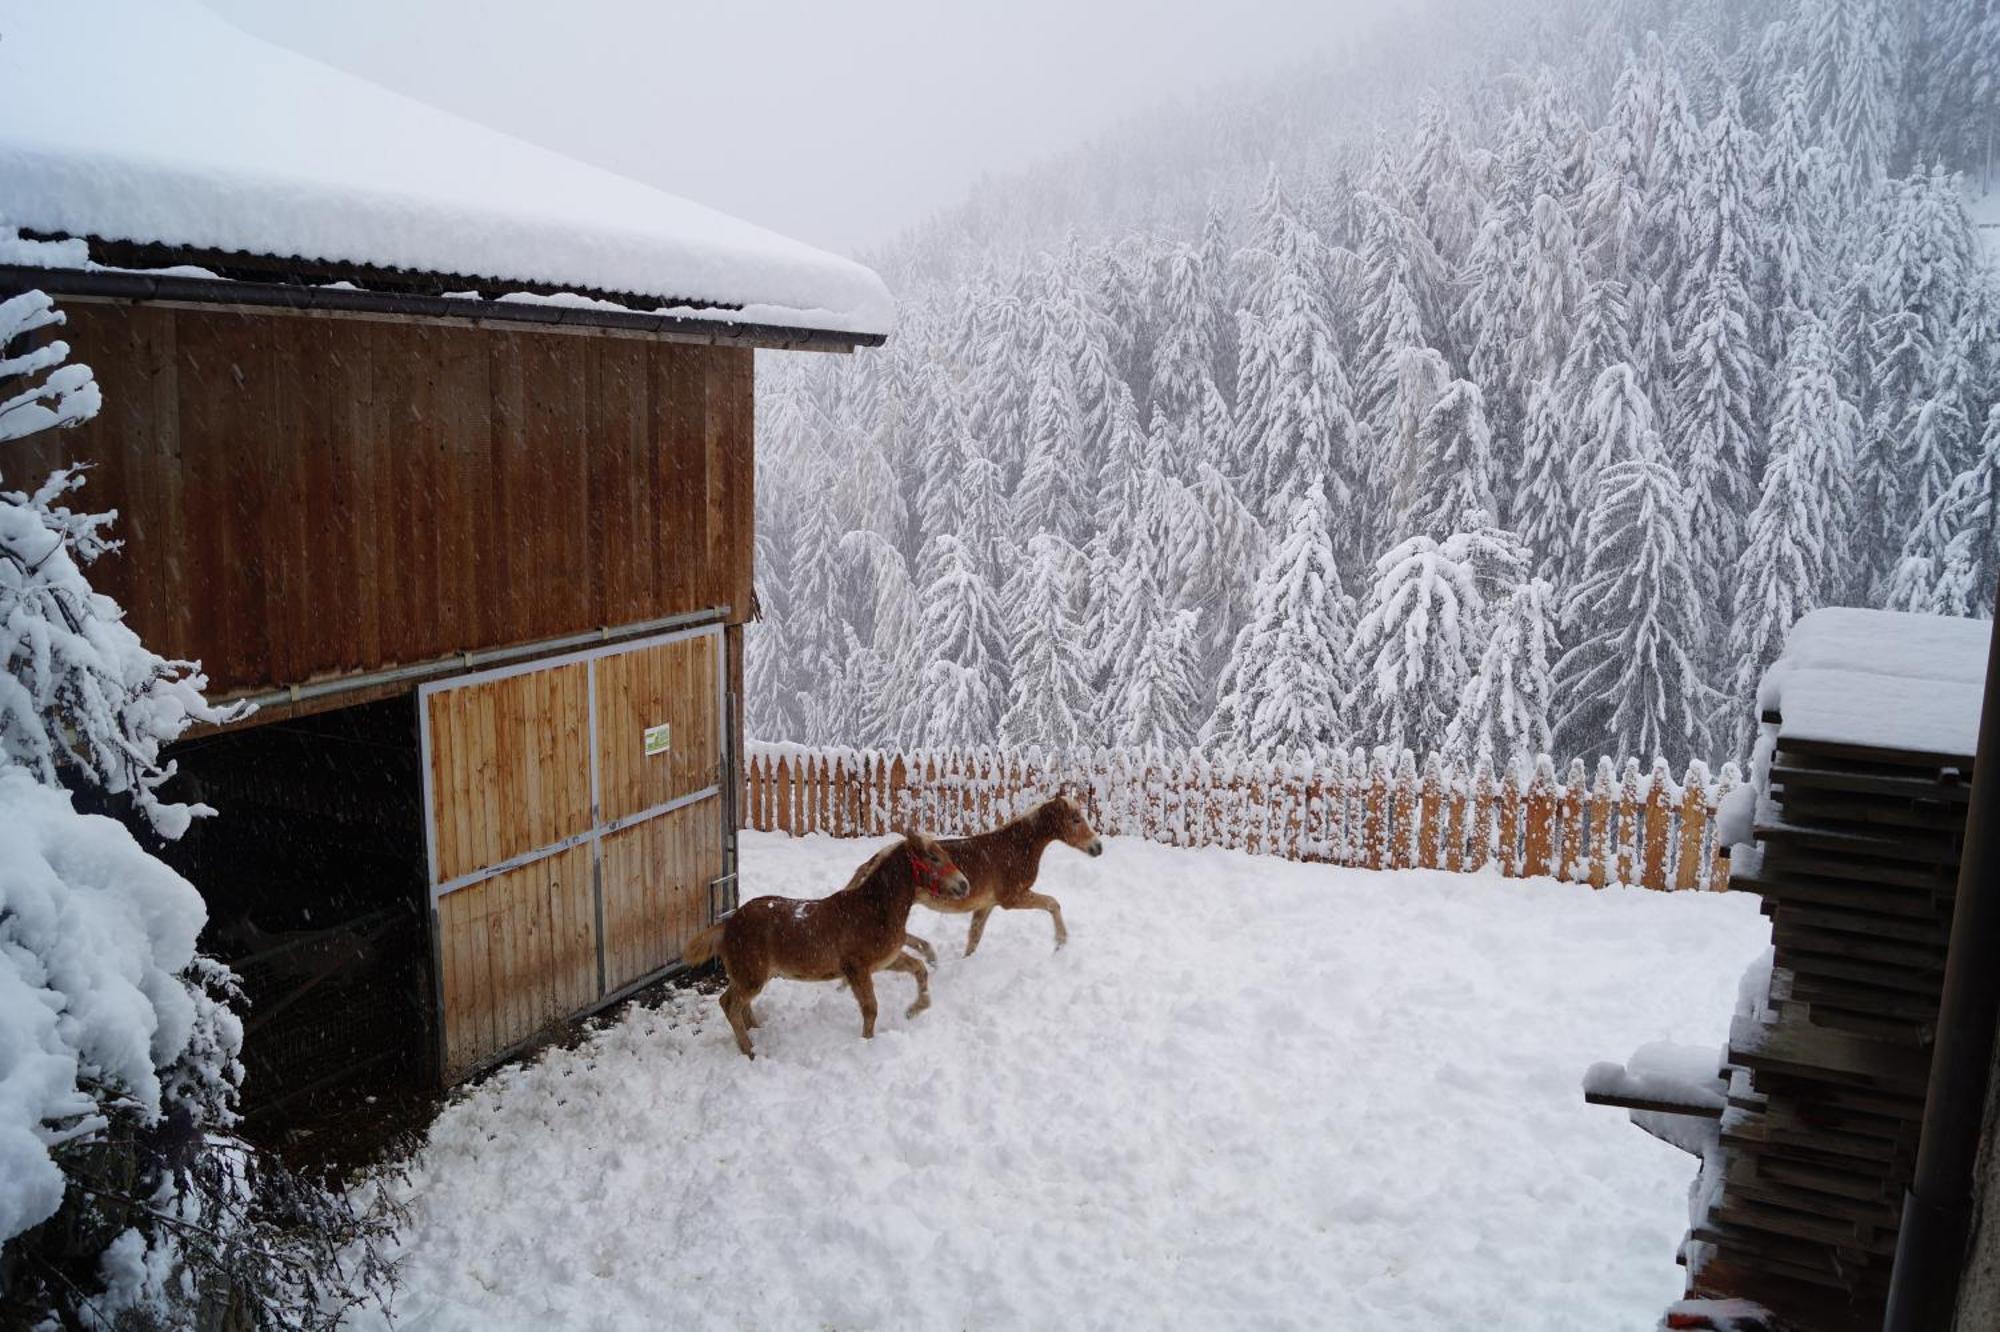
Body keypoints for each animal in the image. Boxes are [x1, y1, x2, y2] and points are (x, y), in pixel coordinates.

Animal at [684, 824, 972, 1056]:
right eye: (933, 857)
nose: (964, 885)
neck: (874, 909)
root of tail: (728, 924)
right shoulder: (857, 969)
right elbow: (870, 1007)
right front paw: (867, 1043)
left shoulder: (885, 961)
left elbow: (920, 969)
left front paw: (914, 1010)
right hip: (751, 978)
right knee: (730, 1005)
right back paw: (750, 1051)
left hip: (750, 977)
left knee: (736, 1004)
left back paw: (757, 1031)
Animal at [916, 788, 1104, 956]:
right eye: (1076, 820)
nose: (1098, 847)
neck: (1014, 847)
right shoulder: (1012, 898)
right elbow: (1053, 903)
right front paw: (1060, 942)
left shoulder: (986, 905)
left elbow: (974, 939)